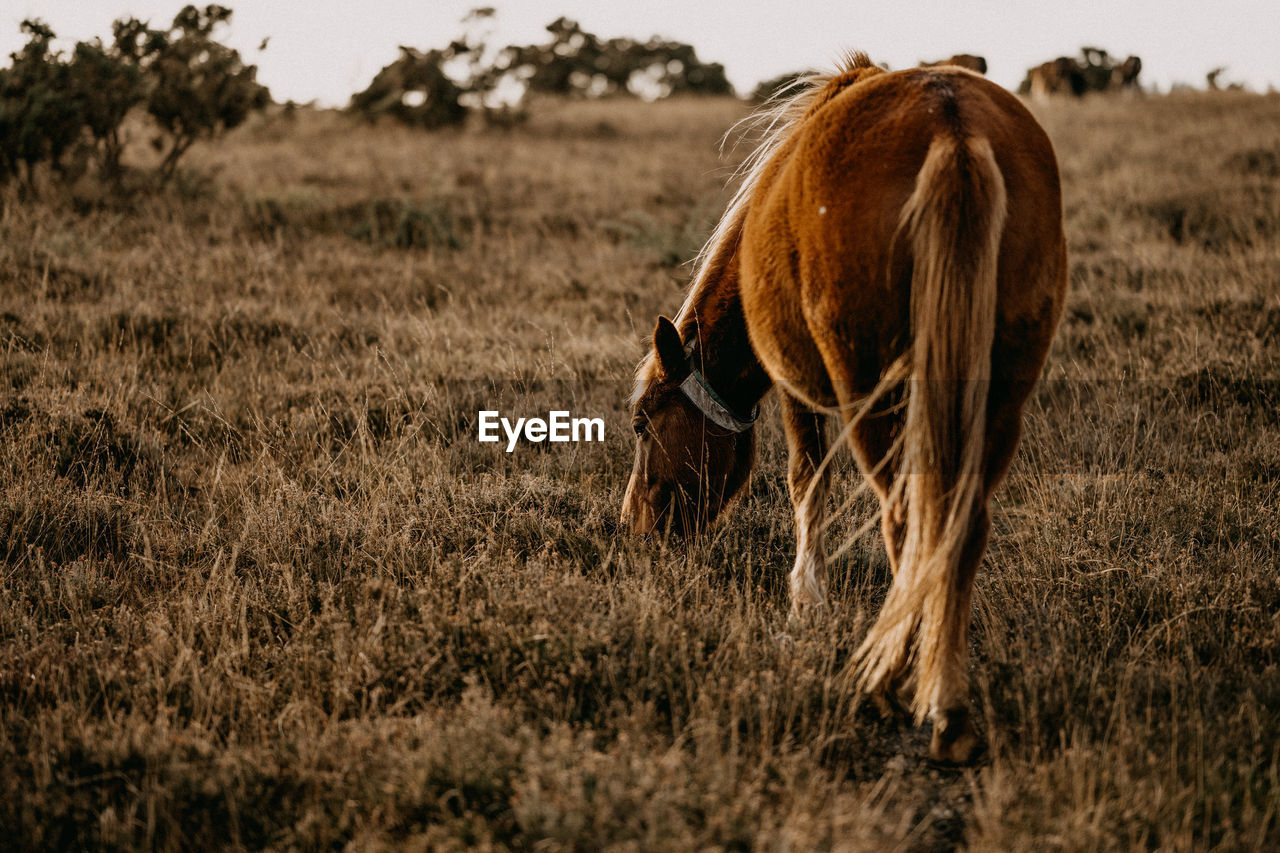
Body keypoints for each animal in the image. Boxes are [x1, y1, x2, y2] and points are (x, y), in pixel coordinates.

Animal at [619, 51, 1070, 763]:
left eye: (642, 424)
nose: (633, 529)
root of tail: (954, 129)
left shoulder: (798, 387)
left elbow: (807, 481)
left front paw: (806, 604)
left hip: (872, 391)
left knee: (906, 520)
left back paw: (895, 688)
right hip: (1003, 390)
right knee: (959, 527)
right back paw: (950, 709)